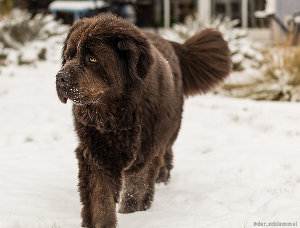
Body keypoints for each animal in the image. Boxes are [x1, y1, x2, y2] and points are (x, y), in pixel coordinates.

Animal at [55, 13, 231, 227]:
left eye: (92, 58)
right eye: (69, 56)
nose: (60, 77)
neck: (116, 115)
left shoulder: (144, 152)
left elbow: (135, 190)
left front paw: (133, 215)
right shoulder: (96, 152)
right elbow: (99, 197)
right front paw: (101, 222)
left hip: (168, 131)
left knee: (165, 153)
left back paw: (162, 177)